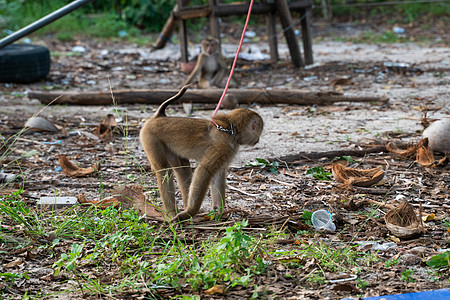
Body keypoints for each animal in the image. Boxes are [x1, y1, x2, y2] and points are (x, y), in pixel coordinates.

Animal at [139, 85, 262, 221]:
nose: (258, 139)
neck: (230, 131)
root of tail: (158, 117)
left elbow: (218, 174)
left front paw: (219, 212)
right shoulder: (222, 147)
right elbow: (204, 171)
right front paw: (192, 211)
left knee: (182, 169)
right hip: (150, 136)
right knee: (164, 170)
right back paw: (173, 213)